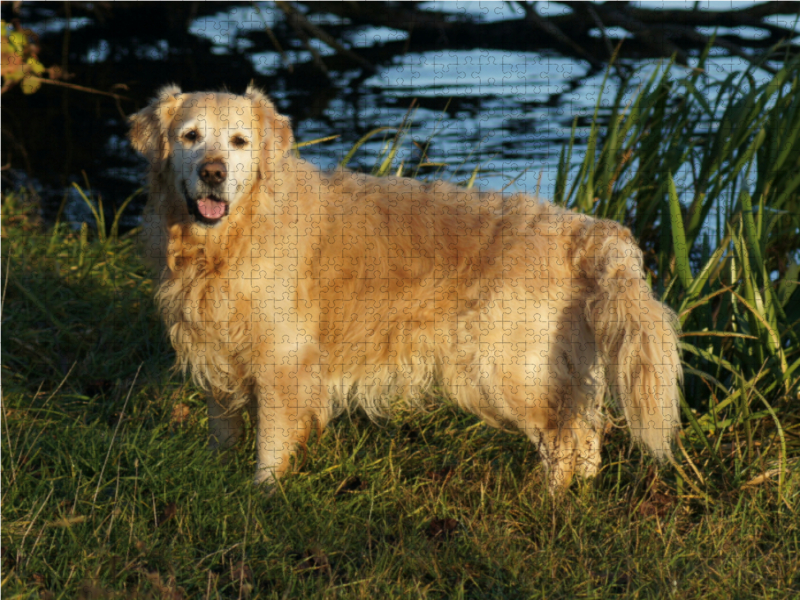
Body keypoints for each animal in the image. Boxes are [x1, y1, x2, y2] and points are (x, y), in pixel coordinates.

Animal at [130, 85, 680, 496]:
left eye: (240, 141)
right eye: (190, 136)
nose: (213, 173)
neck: (228, 240)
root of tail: (583, 228)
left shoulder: (283, 361)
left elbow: (272, 440)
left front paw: (263, 495)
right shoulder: (218, 349)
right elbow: (223, 428)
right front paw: (216, 476)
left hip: (503, 370)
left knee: (565, 439)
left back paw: (544, 502)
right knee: (585, 438)